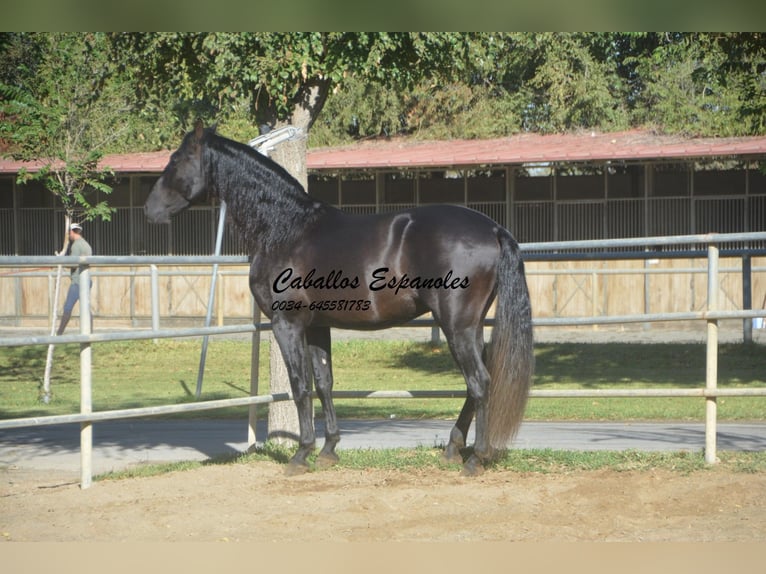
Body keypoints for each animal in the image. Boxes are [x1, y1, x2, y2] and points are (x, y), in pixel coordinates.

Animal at [146, 122, 536, 476]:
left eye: (177, 159)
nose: (151, 210)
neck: (286, 229)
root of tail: (493, 229)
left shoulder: (287, 325)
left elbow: (300, 386)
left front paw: (301, 455)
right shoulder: (318, 327)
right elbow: (324, 383)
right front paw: (328, 450)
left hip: (456, 326)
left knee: (480, 382)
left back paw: (475, 459)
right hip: (469, 327)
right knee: (476, 383)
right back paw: (453, 449)